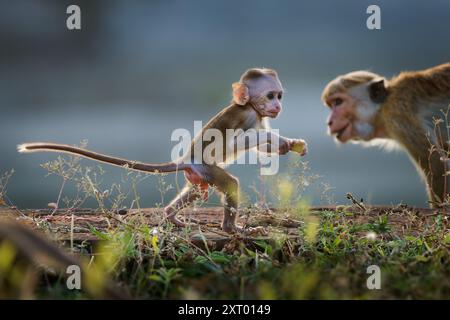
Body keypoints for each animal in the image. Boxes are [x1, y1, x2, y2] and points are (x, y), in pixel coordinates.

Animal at [17, 67, 306, 232]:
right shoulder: (245, 116)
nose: (278, 106)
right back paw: (230, 228)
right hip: (205, 167)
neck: (253, 109)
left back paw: (171, 216)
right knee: (230, 183)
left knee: (194, 191)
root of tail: (186, 159)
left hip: (199, 174)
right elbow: (236, 140)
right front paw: (276, 138)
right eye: (270, 96)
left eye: (279, 96)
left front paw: (286, 145)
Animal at [322, 62, 450, 208]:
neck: (382, 108)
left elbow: (437, 166)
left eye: (338, 102)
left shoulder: (397, 114)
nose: (329, 122)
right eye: (331, 105)